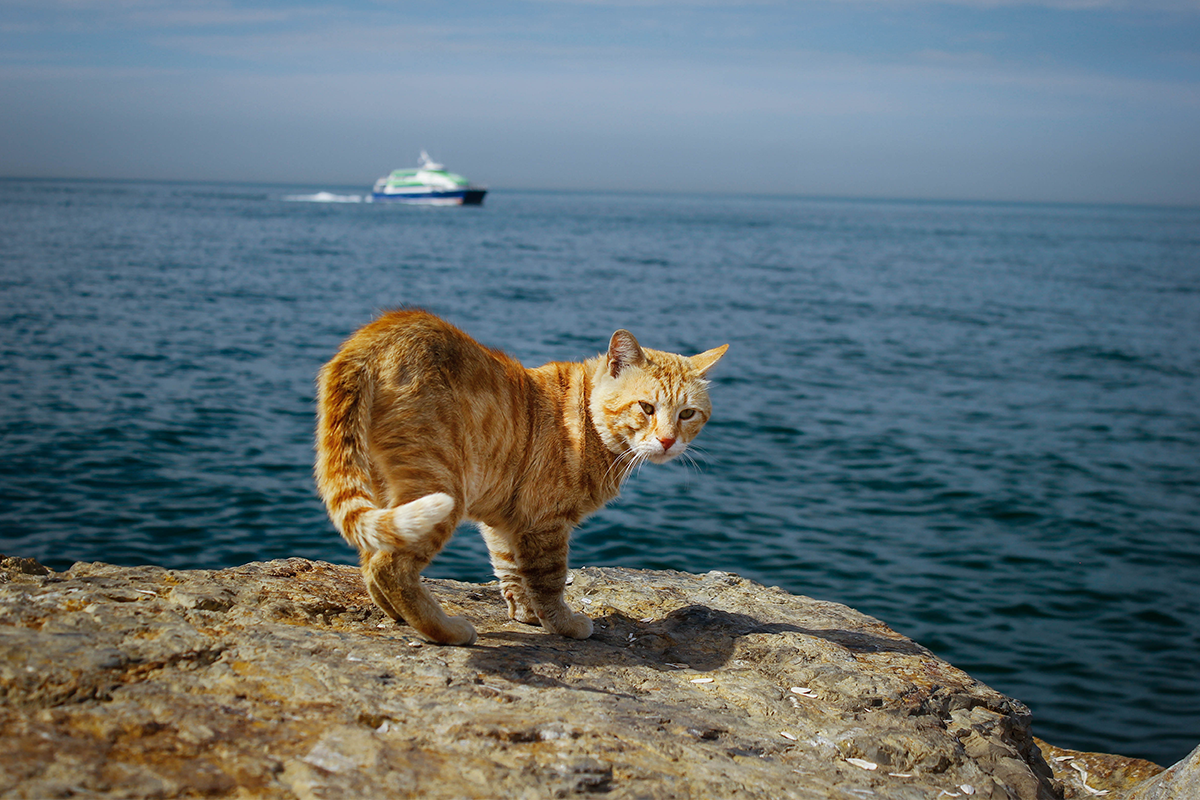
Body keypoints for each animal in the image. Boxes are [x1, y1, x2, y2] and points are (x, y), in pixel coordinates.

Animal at [314, 309, 724, 647]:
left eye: (687, 413)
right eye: (646, 407)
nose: (668, 440)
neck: (587, 424)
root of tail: (375, 335)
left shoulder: (504, 519)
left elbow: (510, 568)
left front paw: (526, 614)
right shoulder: (544, 523)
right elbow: (549, 581)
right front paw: (563, 624)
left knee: (370, 558)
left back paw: (396, 615)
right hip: (440, 488)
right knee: (389, 567)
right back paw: (445, 630)